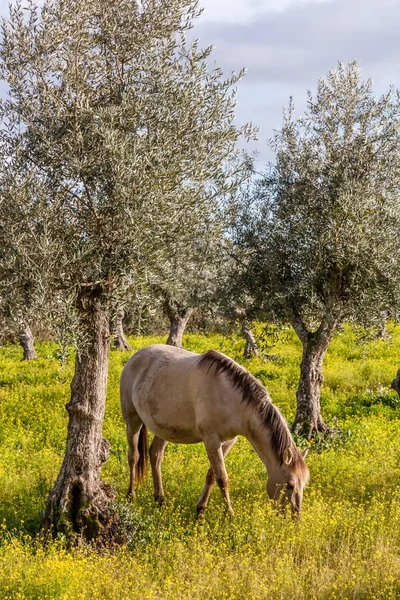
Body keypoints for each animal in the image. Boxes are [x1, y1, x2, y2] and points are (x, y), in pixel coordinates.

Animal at [119, 344, 310, 516]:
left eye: (304, 485)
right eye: (290, 485)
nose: (295, 517)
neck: (231, 397)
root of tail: (135, 357)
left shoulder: (228, 441)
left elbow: (211, 475)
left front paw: (200, 510)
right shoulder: (211, 440)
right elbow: (222, 478)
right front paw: (229, 514)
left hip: (163, 428)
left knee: (155, 456)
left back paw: (160, 500)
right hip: (133, 421)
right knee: (134, 456)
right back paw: (131, 496)